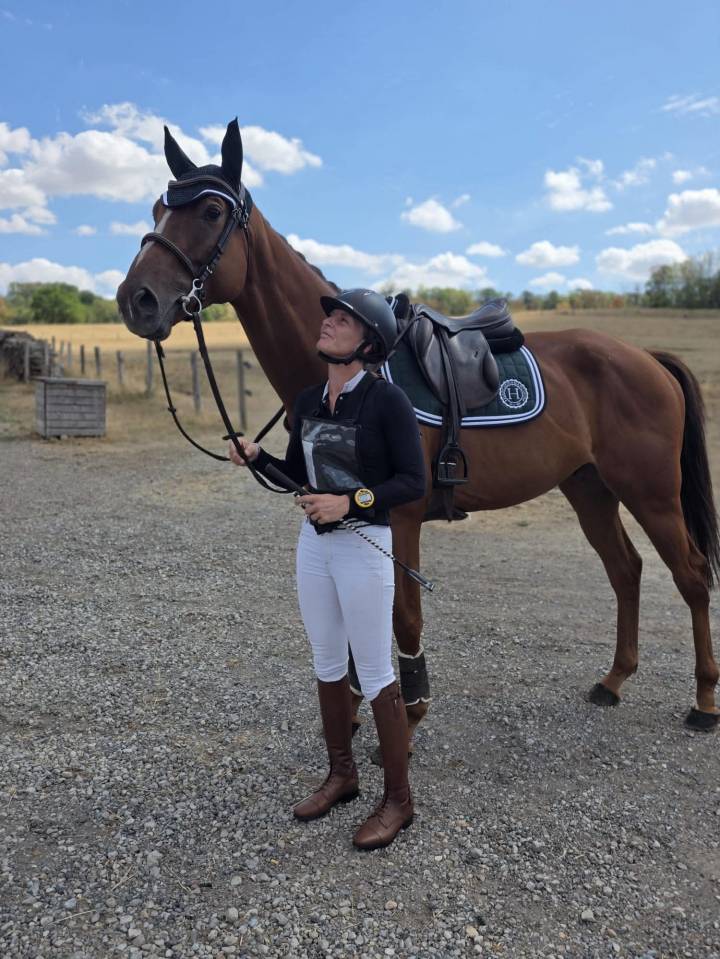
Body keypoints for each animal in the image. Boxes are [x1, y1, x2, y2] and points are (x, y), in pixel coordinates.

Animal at [117, 118, 720, 745]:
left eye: (211, 211)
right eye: (158, 207)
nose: (137, 300)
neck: (355, 369)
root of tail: (646, 358)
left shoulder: (400, 517)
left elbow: (402, 615)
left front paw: (408, 712)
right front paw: (356, 704)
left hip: (652, 494)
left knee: (692, 576)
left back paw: (704, 701)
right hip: (589, 487)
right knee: (626, 571)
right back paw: (613, 680)